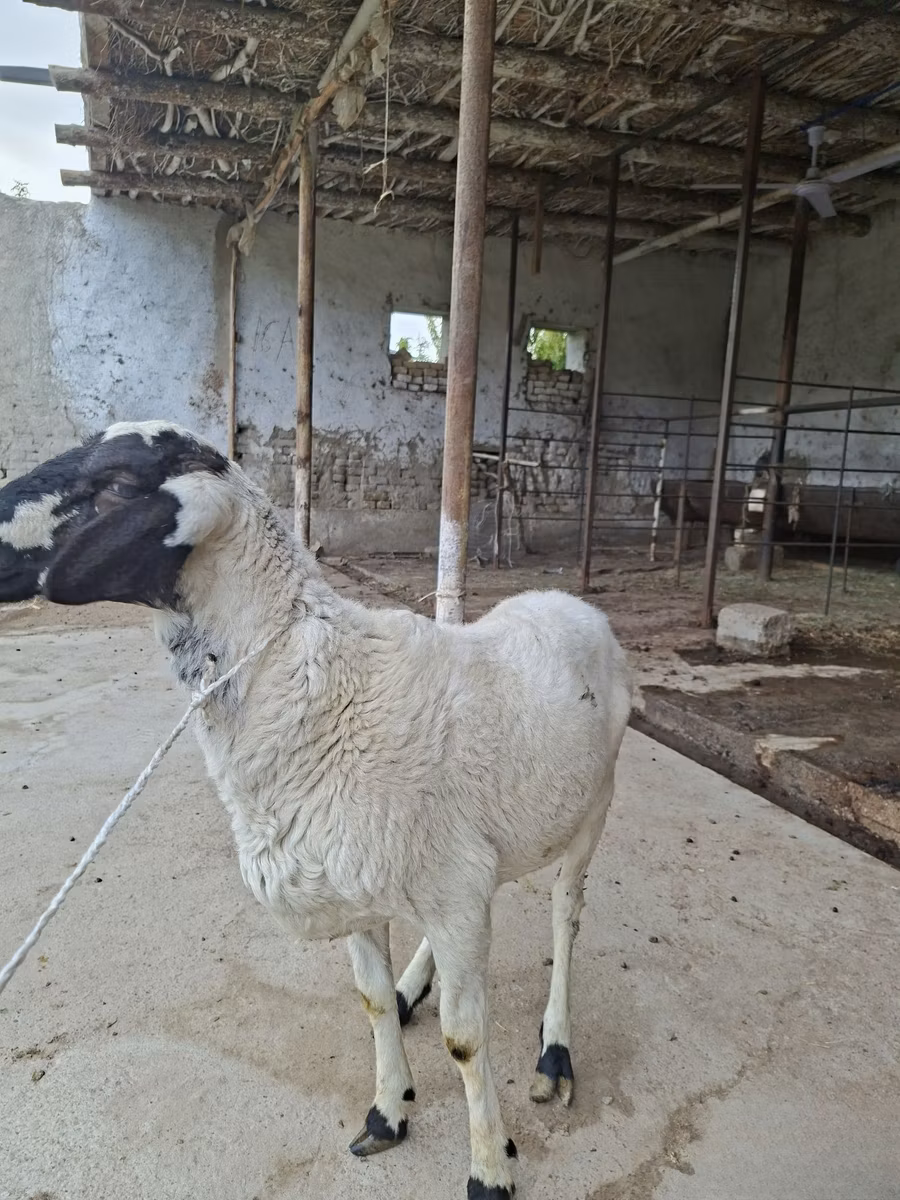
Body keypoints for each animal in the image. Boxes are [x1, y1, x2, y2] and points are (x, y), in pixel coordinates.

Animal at [0, 421, 632, 1199]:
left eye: (116, 485)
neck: (325, 685)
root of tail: (573, 603)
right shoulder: (376, 887)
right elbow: (370, 1001)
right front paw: (389, 1109)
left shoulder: (450, 891)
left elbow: (465, 1039)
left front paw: (490, 1167)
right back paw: (416, 987)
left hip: (593, 806)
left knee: (565, 918)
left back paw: (555, 1053)